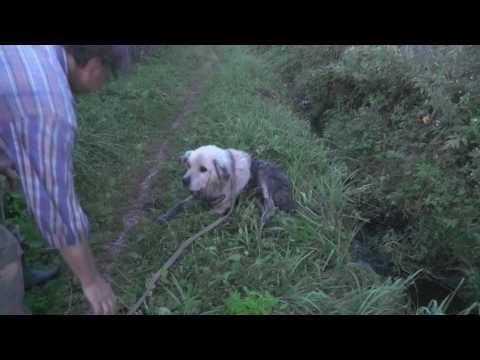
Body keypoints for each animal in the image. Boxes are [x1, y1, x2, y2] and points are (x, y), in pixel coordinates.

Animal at [158, 145, 296, 226]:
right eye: (188, 165)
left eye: (203, 169)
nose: (184, 181)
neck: (216, 183)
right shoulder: (199, 194)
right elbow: (180, 205)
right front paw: (165, 217)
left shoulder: (221, 207)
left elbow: (197, 215)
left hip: (263, 174)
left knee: (271, 206)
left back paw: (259, 223)